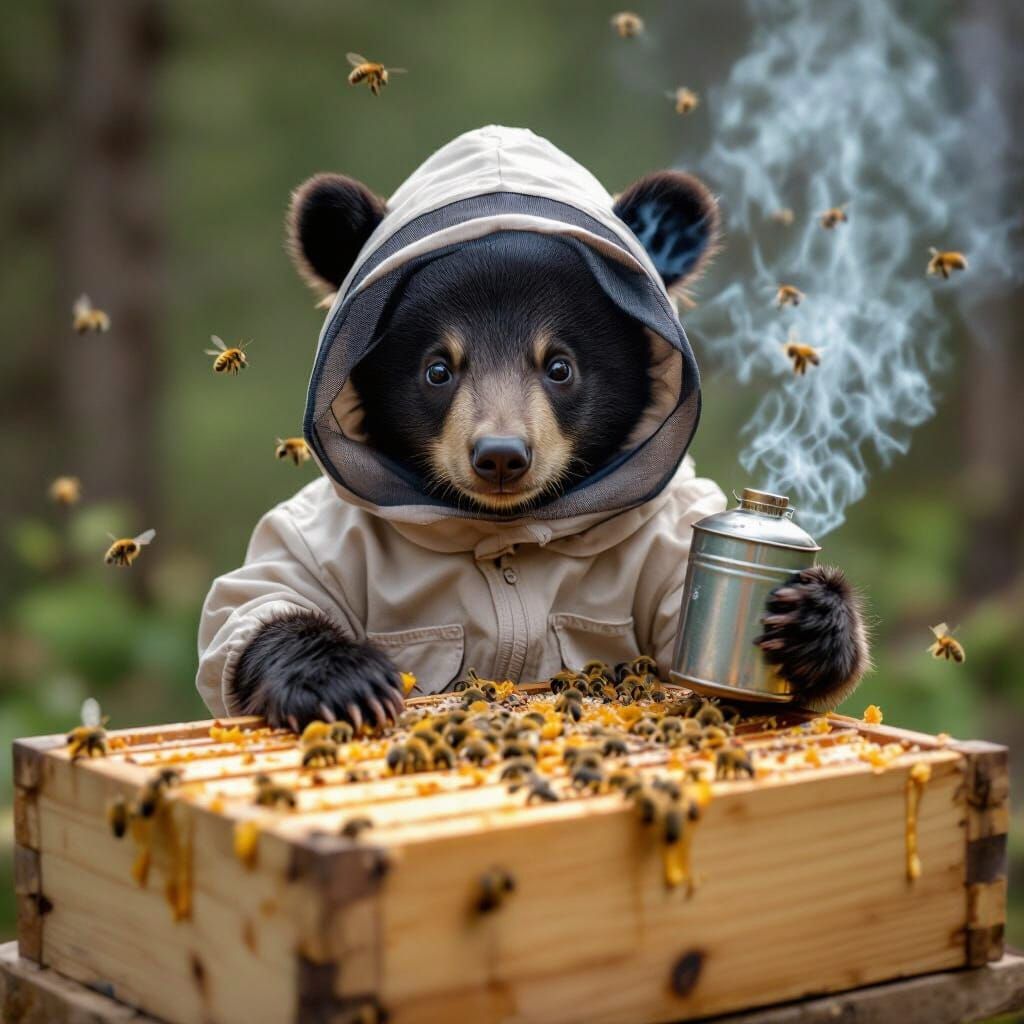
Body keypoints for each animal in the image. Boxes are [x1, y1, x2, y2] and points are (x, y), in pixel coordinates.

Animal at [196, 126, 868, 732]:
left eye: (560, 366)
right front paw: (344, 681)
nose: (500, 455)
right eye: (438, 368)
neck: (503, 530)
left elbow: (686, 600)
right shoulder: (329, 528)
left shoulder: (657, 525)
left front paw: (810, 623)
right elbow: (256, 598)